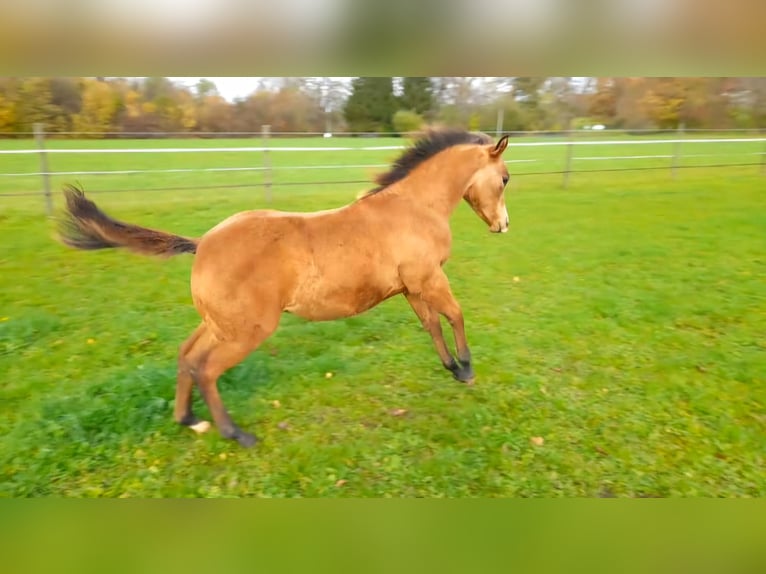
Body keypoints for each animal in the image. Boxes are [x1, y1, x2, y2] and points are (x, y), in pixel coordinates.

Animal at [58, 129, 511, 447]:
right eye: (505, 178)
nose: (503, 226)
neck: (412, 208)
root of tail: (202, 243)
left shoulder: (411, 287)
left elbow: (432, 324)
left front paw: (453, 369)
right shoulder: (430, 278)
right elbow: (455, 314)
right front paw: (467, 368)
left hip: (220, 324)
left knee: (187, 356)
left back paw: (190, 420)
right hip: (248, 330)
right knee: (207, 369)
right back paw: (237, 434)